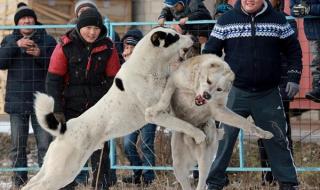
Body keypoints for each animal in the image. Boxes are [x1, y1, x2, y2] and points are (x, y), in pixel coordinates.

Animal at [22, 27, 208, 190]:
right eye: (175, 37)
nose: (193, 37)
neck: (150, 68)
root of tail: (64, 129)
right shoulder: (155, 115)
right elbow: (183, 124)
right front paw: (199, 135)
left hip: (52, 168)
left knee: (31, 184)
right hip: (63, 171)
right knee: (36, 186)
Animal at [145, 53, 272, 190]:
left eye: (219, 89)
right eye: (209, 81)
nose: (207, 95)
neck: (194, 93)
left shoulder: (218, 110)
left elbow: (243, 121)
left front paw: (263, 133)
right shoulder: (174, 80)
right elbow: (165, 97)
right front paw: (155, 109)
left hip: (205, 161)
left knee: (201, 182)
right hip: (179, 167)